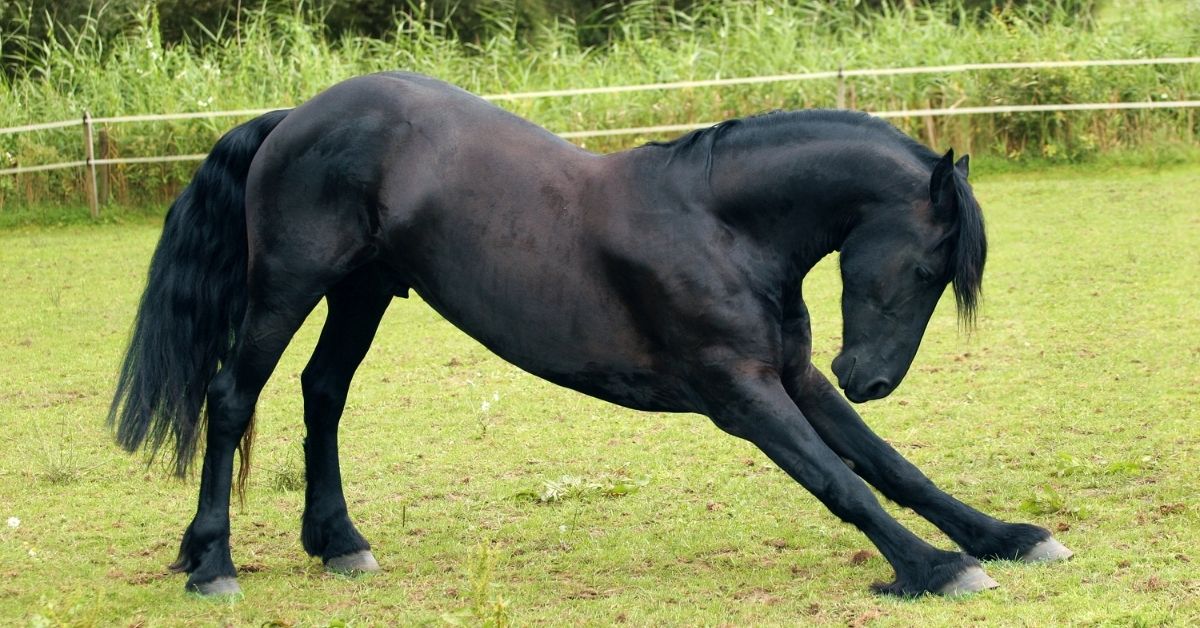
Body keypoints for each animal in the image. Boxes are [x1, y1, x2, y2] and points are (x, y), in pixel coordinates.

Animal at [108, 71, 1075, 597]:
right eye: (927, 266)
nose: (870, 376)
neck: (719, 227)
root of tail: (292, 119)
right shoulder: (742, 395)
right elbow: (843, 483)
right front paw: (935, 568)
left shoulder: (794, 378)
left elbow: (893, 467)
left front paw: (1006, 538)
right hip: (289, 286)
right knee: (233, 398)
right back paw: (212, 564)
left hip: (365, 290)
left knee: (323, 394)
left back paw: (338, 543)